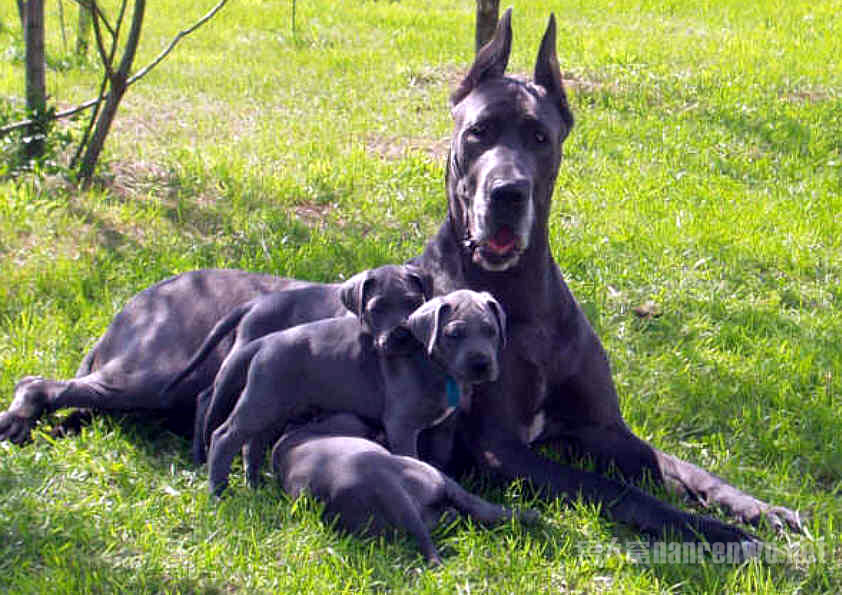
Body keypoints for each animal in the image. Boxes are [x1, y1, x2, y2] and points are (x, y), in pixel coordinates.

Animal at [208, 292, 506, 496]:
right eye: (453, 334)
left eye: (491, 331)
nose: (481, 364)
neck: (434, 366)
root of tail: (266, 341)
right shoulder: (402, 426)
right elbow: (411, 457)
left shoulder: (443, 427)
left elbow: (440, 459)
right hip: (262, 403)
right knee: (223, 437)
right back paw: (219, 491)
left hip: (275, 407)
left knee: (252, 443)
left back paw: (254, 484)